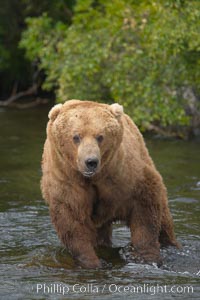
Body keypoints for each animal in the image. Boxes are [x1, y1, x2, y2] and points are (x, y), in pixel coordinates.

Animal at [41, 99, 180, 268]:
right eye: (76, 137)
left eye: (100, 136)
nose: (91, 162)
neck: (93, 178)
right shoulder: (66, 180)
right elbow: (72, 222)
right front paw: (92, 262)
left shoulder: (122, 174)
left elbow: (145, 209)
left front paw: (146, 257)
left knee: (164, 219)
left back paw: (171, 245)